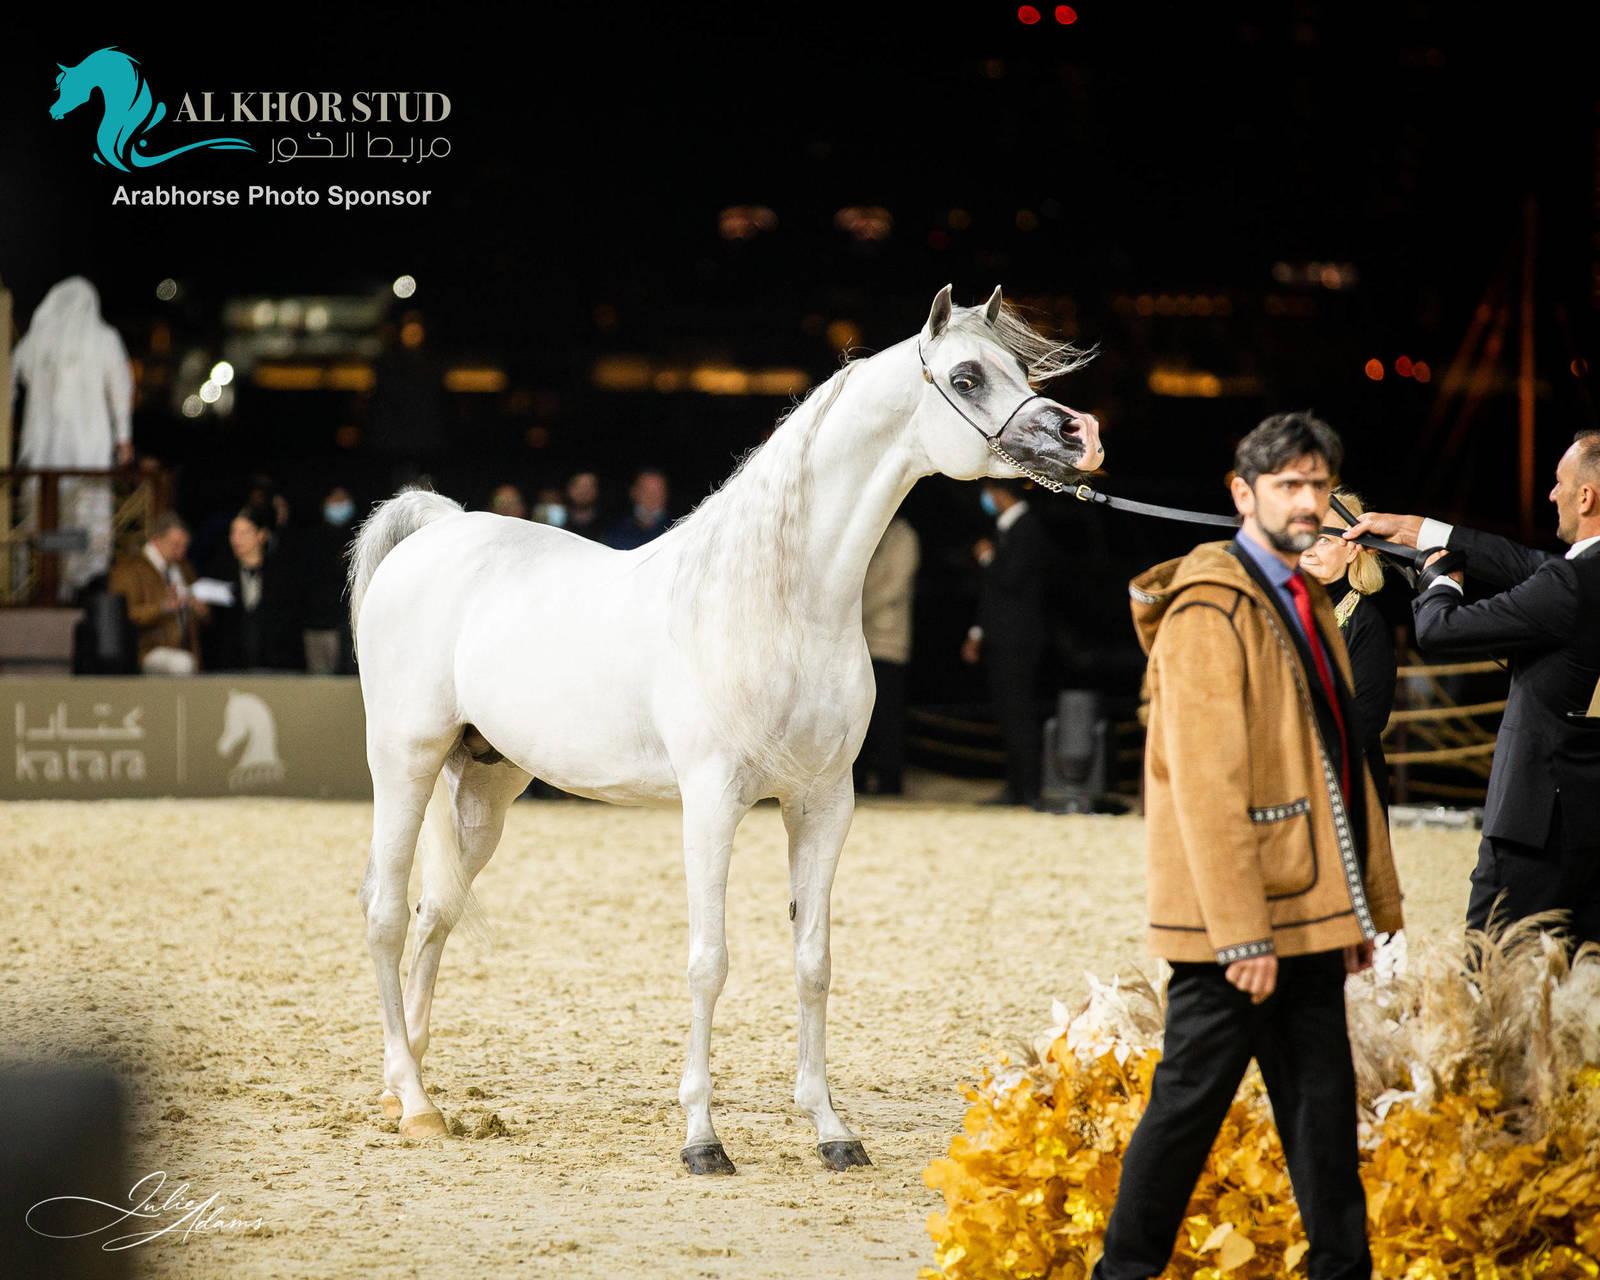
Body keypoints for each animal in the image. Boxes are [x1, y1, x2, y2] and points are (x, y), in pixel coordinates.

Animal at [348, 286, 1105, 1173]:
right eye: (966, 376)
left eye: (1021, 368)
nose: (1077, 436)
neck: (778, 605)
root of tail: (437, 532)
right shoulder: (712, 802)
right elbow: (709, 963)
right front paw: (702, 1138)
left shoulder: (823, 803)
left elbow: (813, 961)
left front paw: (831, 1129)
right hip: (405, 761)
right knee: (386, 913)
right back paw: (417, 1105)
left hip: (486, 785)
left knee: (436, 912)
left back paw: (406, 1083)